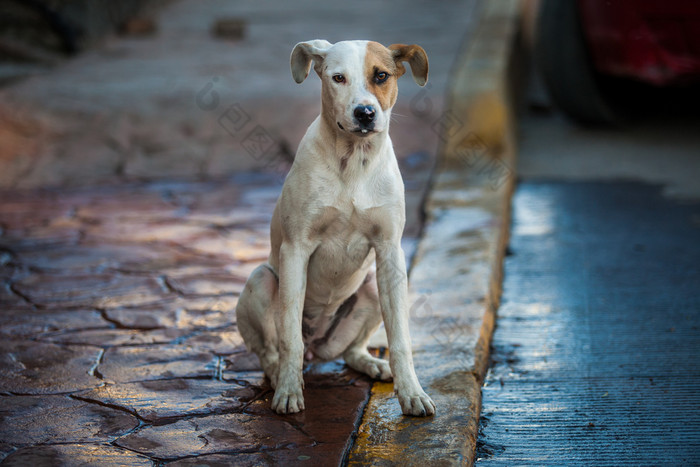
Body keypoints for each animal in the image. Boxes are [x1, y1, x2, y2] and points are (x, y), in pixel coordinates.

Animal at [239, 38, 438, 414]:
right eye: (338, 78)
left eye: (381, 75)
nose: (365, 113)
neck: (354, 161)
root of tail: (317, 345)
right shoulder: (296, 250)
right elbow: (289, 338)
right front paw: (289, 392)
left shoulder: (390, 251)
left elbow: (400, 338)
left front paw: (412, 393)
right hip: (262, 280)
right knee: (271, 350)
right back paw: (277, 375)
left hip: (372, 286)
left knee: (350, 352)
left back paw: (373, 364)